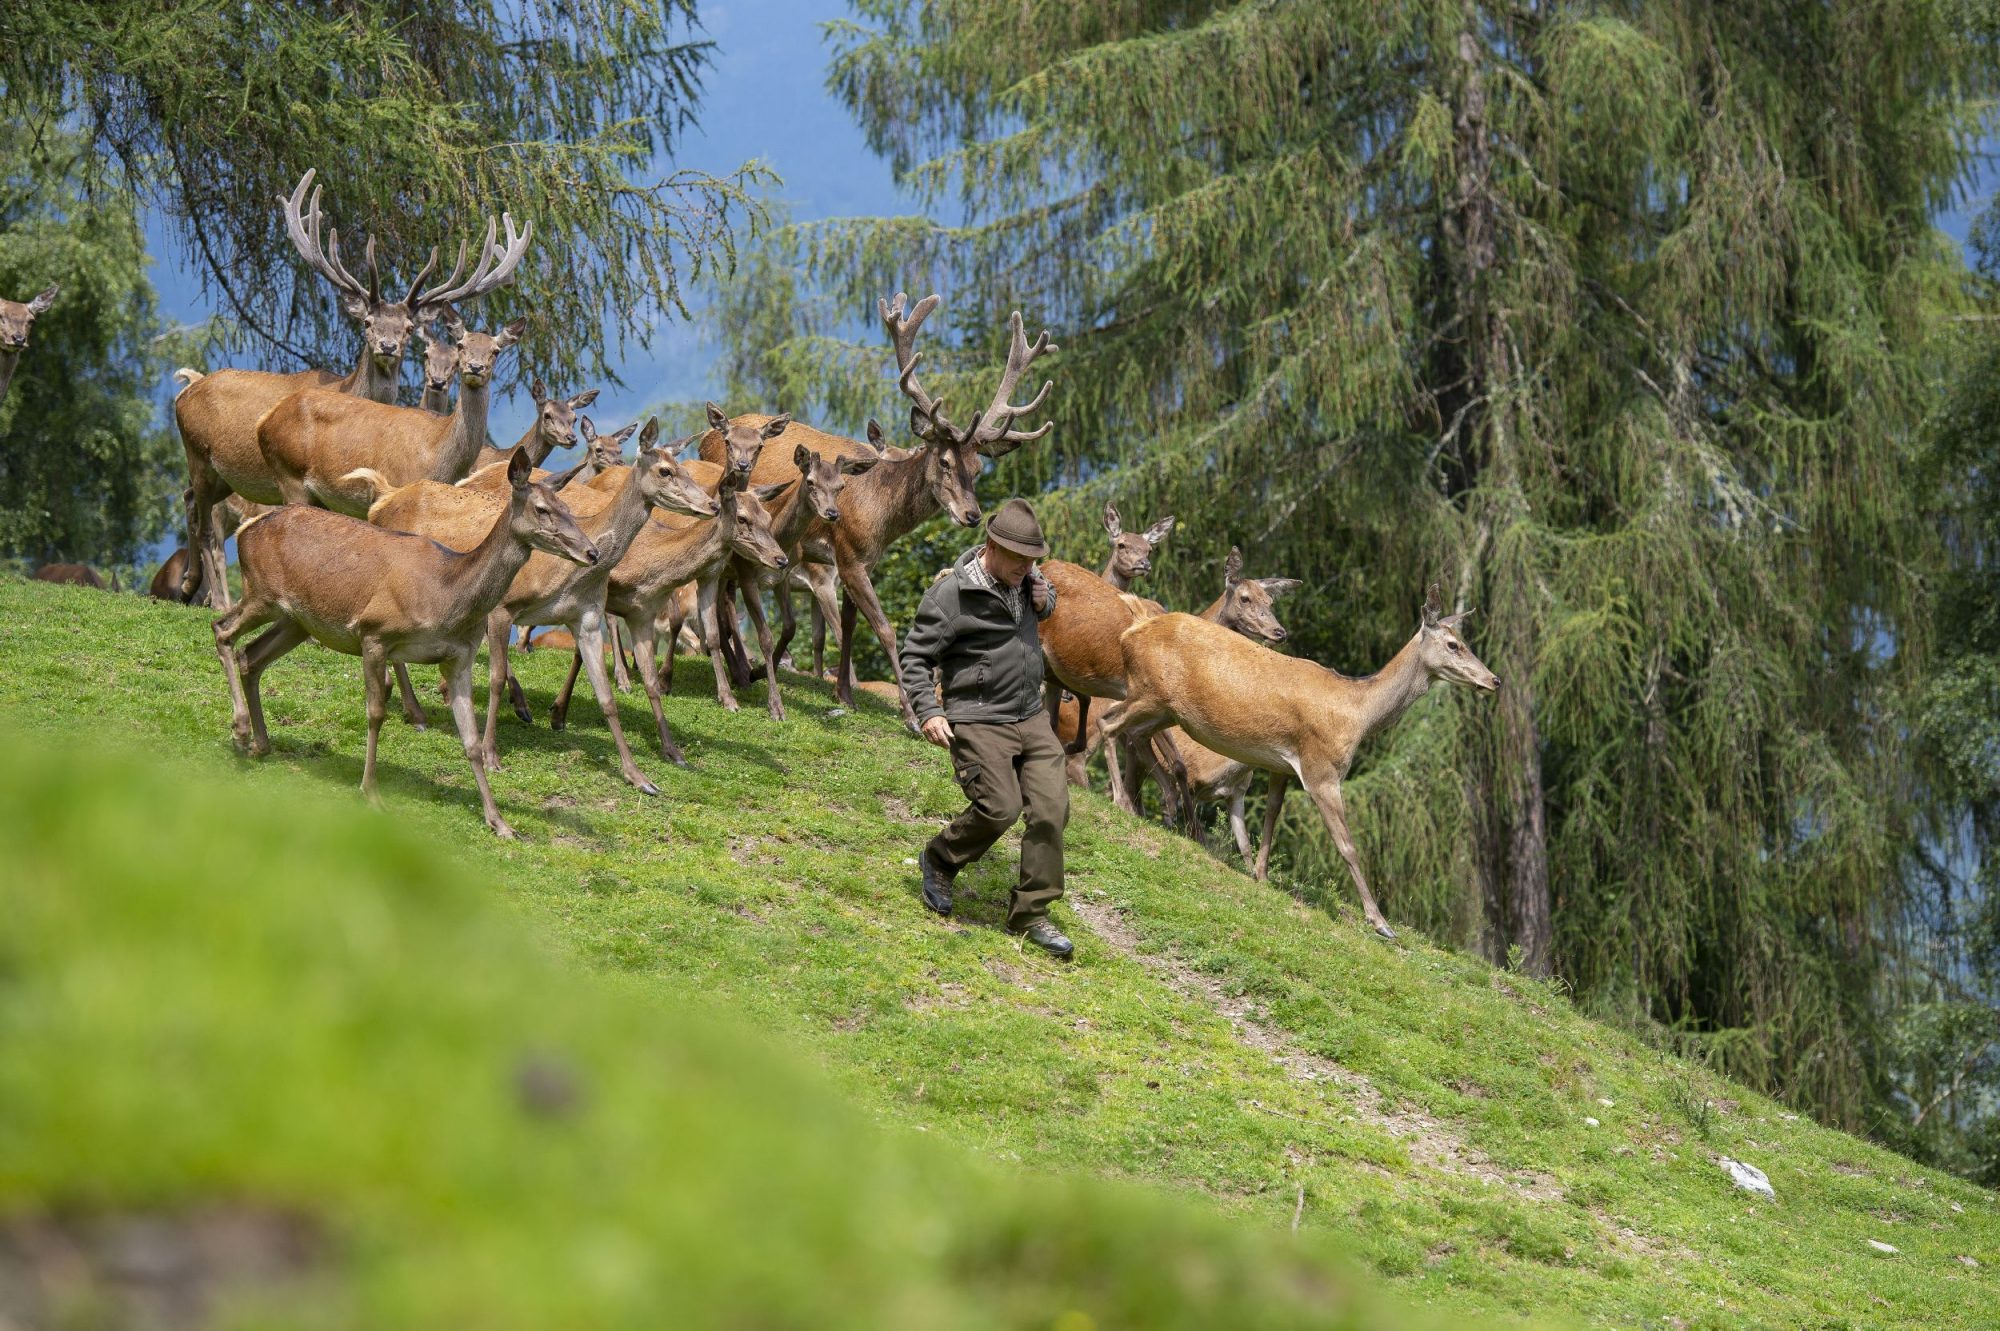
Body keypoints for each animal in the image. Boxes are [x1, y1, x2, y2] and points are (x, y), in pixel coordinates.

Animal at [177, 168, 532, 603]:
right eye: (366, 322)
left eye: (409, 328)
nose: (387, 346)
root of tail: (186, 389)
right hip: (210, 459)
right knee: (205, 522)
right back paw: (211, 595)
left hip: (222, 475)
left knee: (191, 504)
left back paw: (192, 586)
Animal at [218, 451, 596, 835]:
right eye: (542, 509)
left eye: (567, 506)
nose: (591, 552)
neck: (447, 596)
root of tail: (246, 529)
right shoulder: (373, 634)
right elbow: (375, 713)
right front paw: (371, 793)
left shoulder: (459, 659)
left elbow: (471, 742)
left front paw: (499, 822)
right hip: (261, 593)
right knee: (223, 630)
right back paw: (240, 731)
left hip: (297, 621)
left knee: (251, 655)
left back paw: (260, 744)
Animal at [356, 415, 716, 787]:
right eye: (665, 470)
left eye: (684, 466)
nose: (712, 505)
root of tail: (380, 501)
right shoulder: (503, 607)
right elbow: (496, 678)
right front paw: (491, 754)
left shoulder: (586, 616)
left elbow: (606, 695)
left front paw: (639, 775)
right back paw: (418, 711)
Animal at [716, 293, 1072, 727]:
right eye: (944, 461)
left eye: (978, 468)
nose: (971, 516)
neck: (879, 515)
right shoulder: (848, 557)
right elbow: (884, 629)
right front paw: (912, 715)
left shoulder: (859, 560)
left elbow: (850, 626)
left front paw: (845, 694)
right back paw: (739, 671)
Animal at [1096, 579, 1504, 931]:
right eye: (1453, 644)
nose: (1494, 680)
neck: (1357, 714)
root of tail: (1133, 627)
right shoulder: (1322, 769)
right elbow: (1347, 845)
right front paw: (1380, 922)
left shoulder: (1283, 766)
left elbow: (1270, 819)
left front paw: (1260, 875)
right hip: (1147, 691)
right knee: (1107, 723)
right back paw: (1122, 801)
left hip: (1164, 708)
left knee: (1135, 736)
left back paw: (1162, 809)